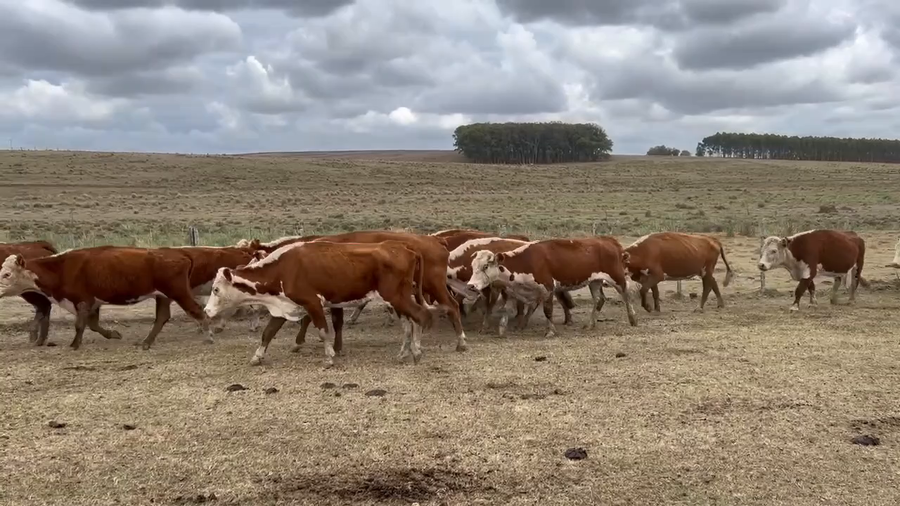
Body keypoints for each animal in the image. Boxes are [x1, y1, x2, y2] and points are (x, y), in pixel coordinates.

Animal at [0, 246, 212, 349]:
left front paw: (74, 344)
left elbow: (80, 325)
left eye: (7, 274)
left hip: (178, 292)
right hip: (163, 296)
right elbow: (93, 325)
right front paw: (114, 334)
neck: (60, 268)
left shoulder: (83, 301)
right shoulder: (94, 303)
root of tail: (181, 254)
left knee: (198, 311)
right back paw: (146, 342)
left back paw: (209, 337)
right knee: (161, 318)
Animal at [202, 240, 434, 367]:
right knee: (408, 323)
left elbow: (323, 330)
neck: (284, 268)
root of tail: (406, 249)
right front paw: (257, 357)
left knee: (420, 316)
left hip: (396, 297)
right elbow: (268, 333)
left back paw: (417, 352)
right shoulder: (282, 308)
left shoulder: (312, 303)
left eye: (216, 289)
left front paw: (329, 357)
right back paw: (403, 353)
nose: (207, 309)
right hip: (397, 300)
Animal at [465, 237, 638, 337]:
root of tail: (610, 241)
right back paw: (590, 324)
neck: (525, 261)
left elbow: (548, 311)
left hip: (617, 278)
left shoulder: (548, 288)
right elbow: (508, 310)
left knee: (627, 296)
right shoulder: (514, 291)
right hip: (594, 282)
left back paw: (633, 319)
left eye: (486, 266)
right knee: (599, 299)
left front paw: (550, 331)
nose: (471, 285)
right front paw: (504, 329)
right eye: (473, 266)